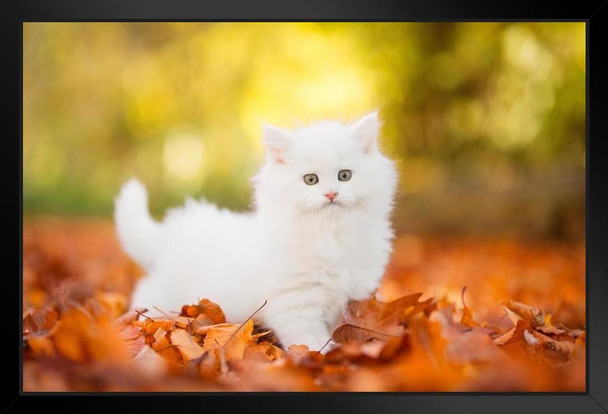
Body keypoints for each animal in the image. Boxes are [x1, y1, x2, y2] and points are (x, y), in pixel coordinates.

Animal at [114, 111, 400, 350]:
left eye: (344, 176)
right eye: (311, 180)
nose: (331, 194)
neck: (329, 234)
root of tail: (168, 236)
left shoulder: (350, 298)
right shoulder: (297, 307)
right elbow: (312, 343)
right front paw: (327, 358)